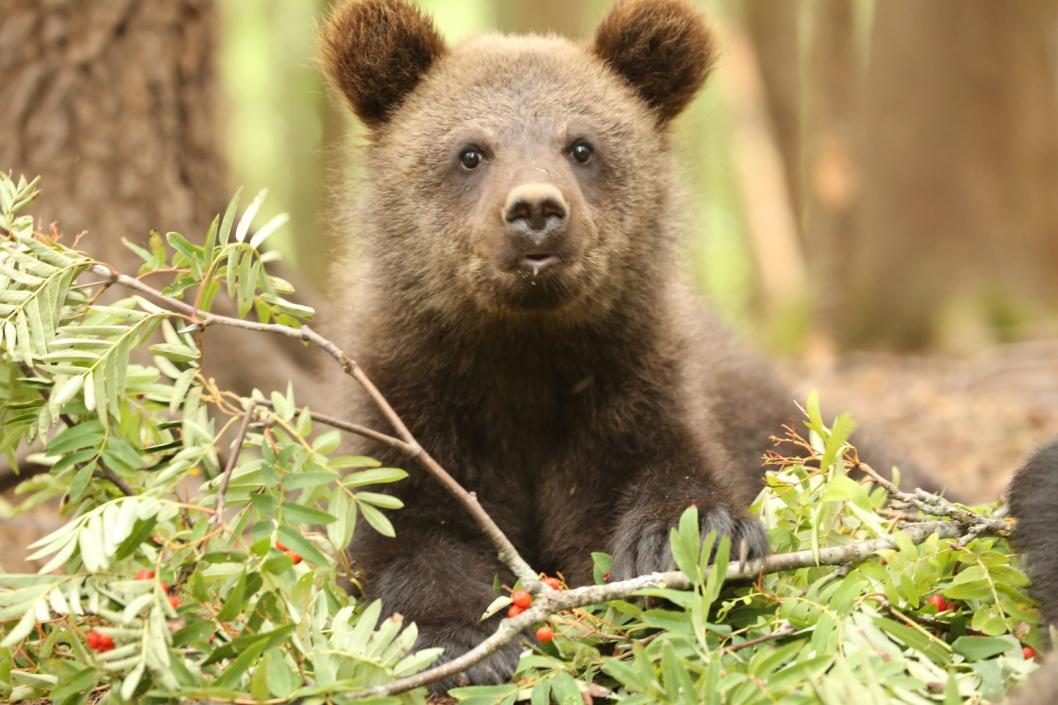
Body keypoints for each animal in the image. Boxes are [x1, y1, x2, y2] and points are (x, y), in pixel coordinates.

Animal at [319, 0, 935, 685]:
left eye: (582, 146)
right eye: (471, 152)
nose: (536, 210)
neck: (523, 353)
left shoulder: (631, 385)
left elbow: (656, 479)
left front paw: (691, 537)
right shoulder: (414, 402)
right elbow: (408, 534)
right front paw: (467, 644)